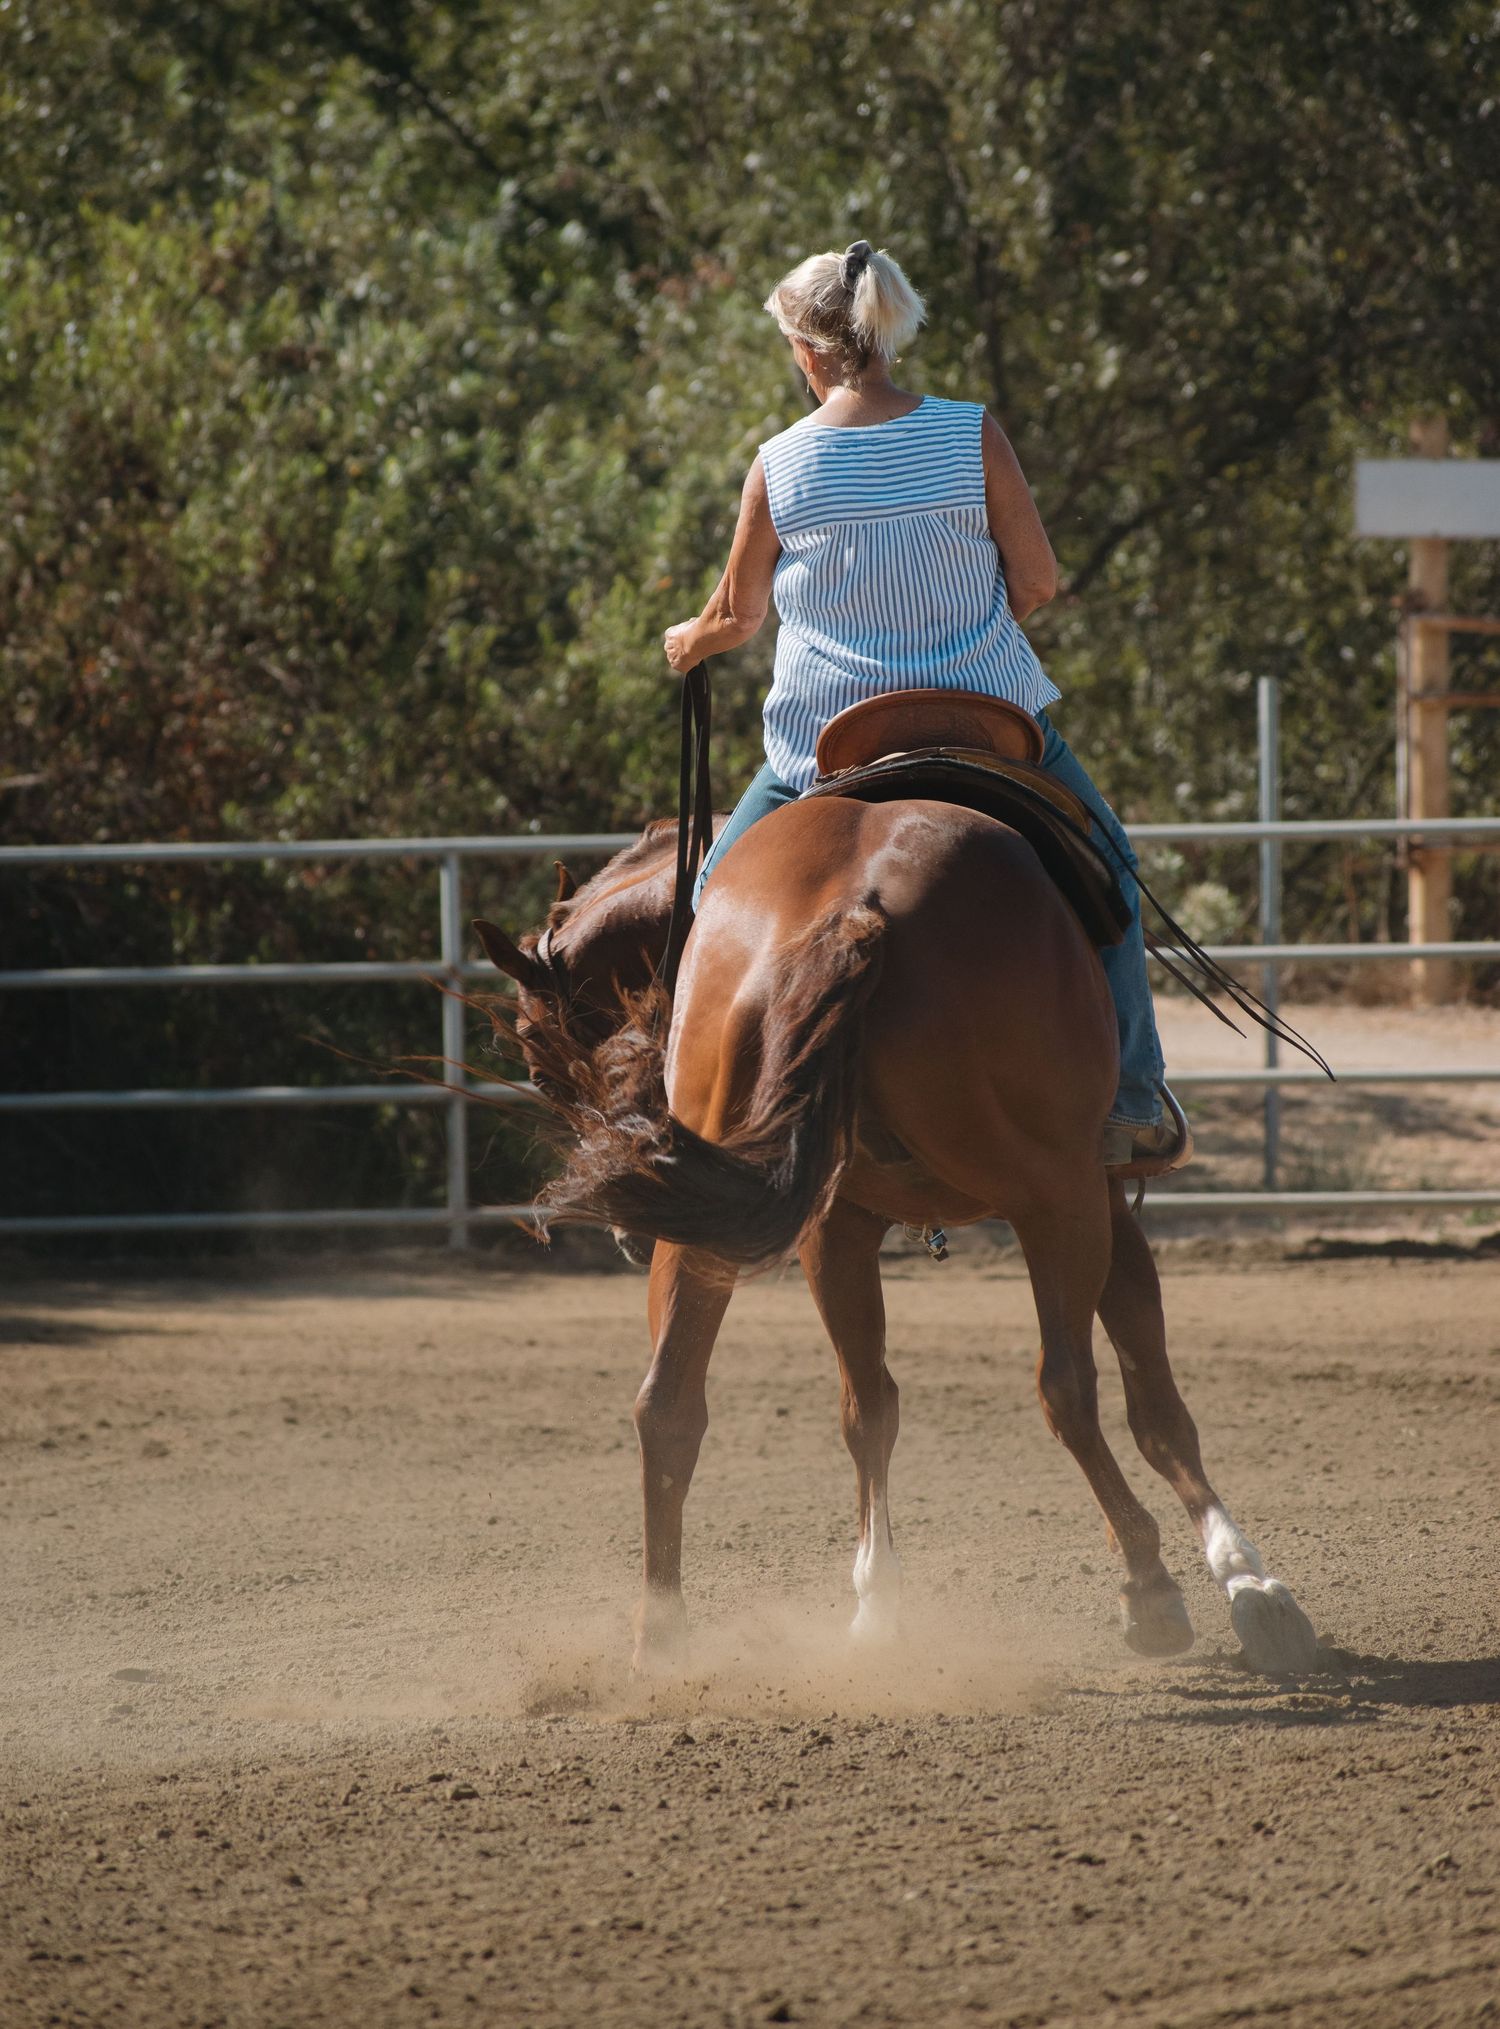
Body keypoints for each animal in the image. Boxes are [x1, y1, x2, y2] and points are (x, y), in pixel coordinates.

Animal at [475, 794, 1320, 1679]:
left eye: (537, 1064)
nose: (626, 1241)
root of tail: (857, 902)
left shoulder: (835, 1228)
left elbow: (868, 1408)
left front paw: (876, 1601)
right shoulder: (1105, 1198)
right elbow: (1154, 1401)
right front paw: (1248, 1578)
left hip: (741, 1226)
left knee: (673, 1404)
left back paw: (663, 1638)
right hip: (1057, 1195)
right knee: (1066, 1388)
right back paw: (1149, 1585)